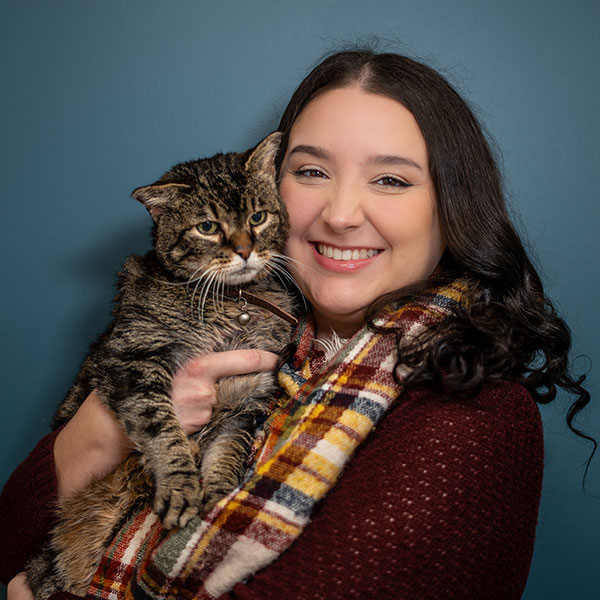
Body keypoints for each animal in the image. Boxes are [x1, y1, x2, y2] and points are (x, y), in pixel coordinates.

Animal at [25, 134, 298, 596]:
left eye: (258, 217)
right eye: (207, 227)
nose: (245, 250)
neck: (233, 306)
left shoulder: (248, 401)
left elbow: (228, 450)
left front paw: (219, 494)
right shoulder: (133, 358)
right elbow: (161, 429)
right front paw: (180, 484)